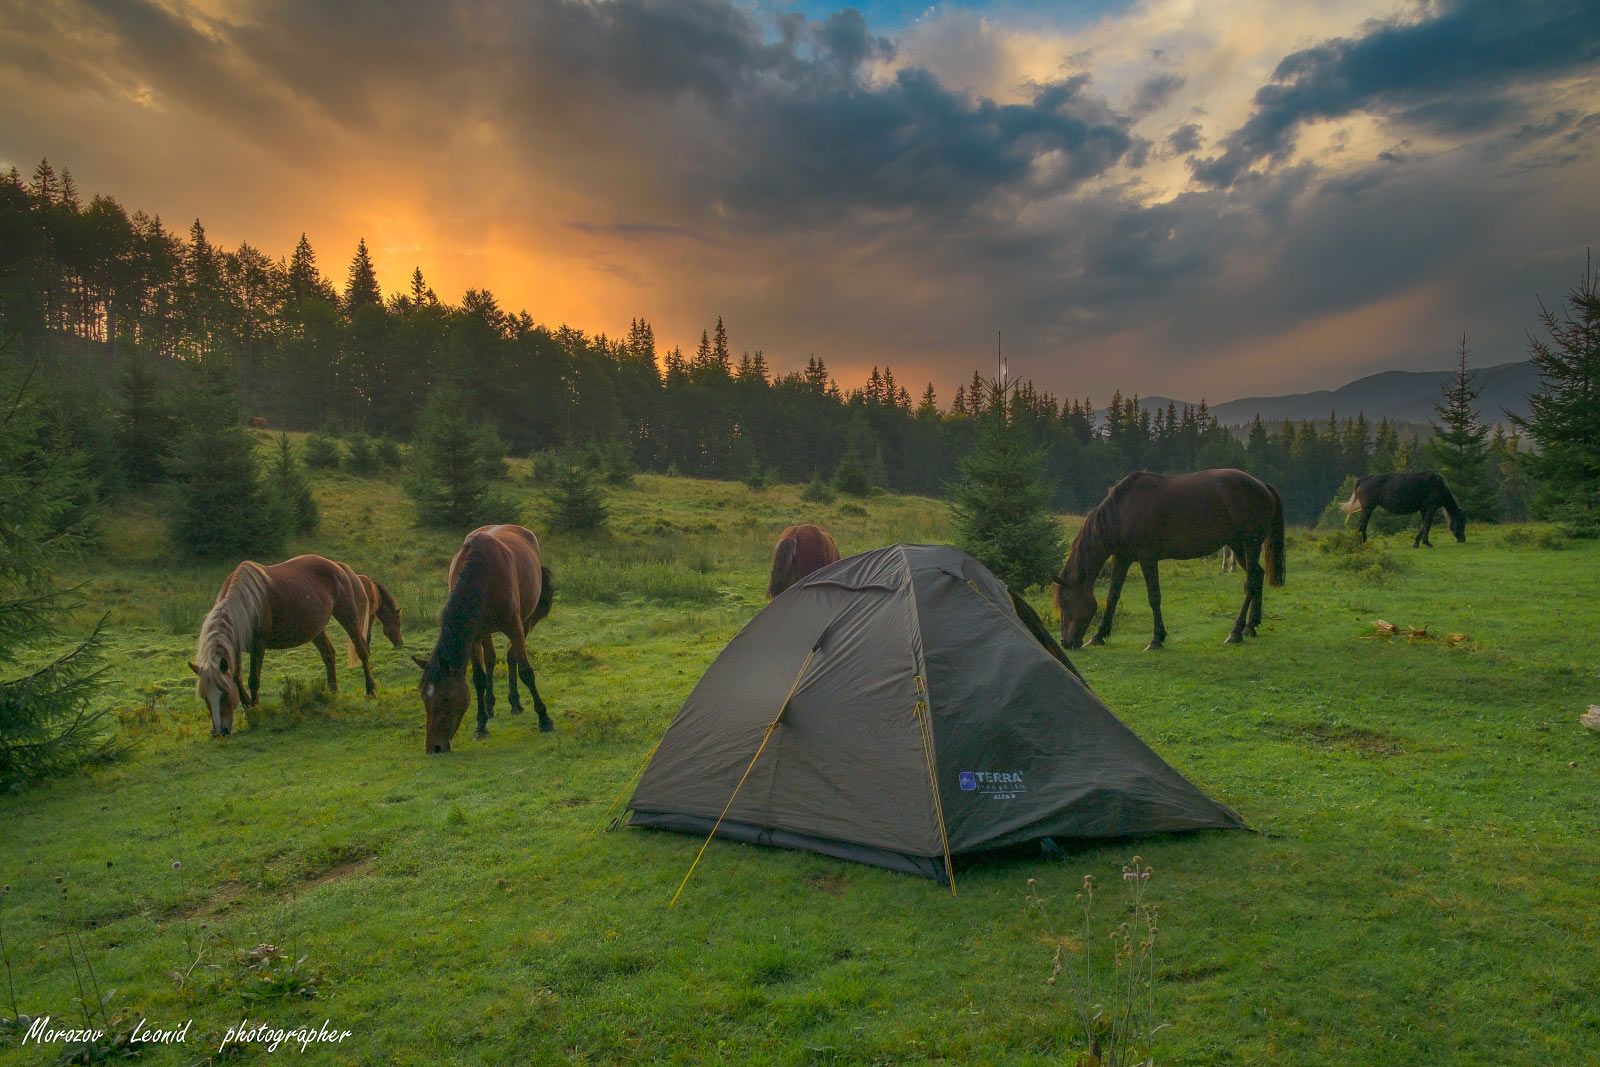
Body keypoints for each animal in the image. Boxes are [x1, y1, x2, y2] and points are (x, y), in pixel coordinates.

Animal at [185, 559, 385, 735]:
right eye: (205, 697)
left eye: (225, 695)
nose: (220, 732)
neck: (245, 604)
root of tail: (338, 565)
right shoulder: (234, 648)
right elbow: (237, 679)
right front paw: (248, 710)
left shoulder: (258, 646)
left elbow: (253, 680)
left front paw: (256, 712)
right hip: (315, 628)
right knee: (328, 654)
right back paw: (332, 693)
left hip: (347, 616)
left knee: (362, 650)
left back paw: (370, 691)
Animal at [412, 524, 556, 751]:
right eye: (424, 698)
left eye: (445, 698)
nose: (434, 748)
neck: (484, 574)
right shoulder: (474, 636)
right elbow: (479, 678)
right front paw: (480, 725)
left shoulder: (514, 626)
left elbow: (526, 671)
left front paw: (544, 718)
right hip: (486, 631)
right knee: (491, 659)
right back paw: (490, 705)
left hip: (525, 620)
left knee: (511, 655)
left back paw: (515, 702)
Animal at [1049, 470, 1286, 652]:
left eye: (1065, 603)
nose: (1066, 642)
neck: (1122, 512)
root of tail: (1262, 486)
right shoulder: (1122, 559)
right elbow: (1112, 596)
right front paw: (1099, 636)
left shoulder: (1147, 558)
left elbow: (1154, 597)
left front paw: (1156, 639)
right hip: (1237, 545)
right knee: (1258, 575)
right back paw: (1251, 626)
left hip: (1250, 544)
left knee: (1251, 583)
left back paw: (1236, 632)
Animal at [1337, 470, 1465, 547]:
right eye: (1461, 522)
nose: (1463, 539)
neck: (1440, 485)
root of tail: (1362, 479)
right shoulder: (1430, 507)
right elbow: (1427, 524)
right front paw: (1426, 543)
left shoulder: (1423, 508)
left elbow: (1424, 525)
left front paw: (1416, 543)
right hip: (1368, 508)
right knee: (1361, 526)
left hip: (1367, 509)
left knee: (1361, 526)